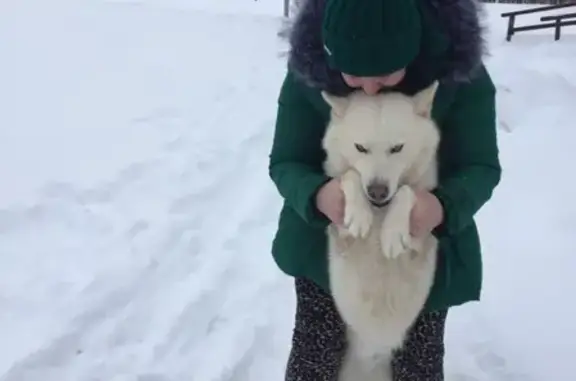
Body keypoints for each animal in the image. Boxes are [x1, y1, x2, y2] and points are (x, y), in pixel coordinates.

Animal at [322, 81, 438, 380]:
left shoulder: (421, 242)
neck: (379, 213)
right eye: (360, 148)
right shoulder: (341, 236)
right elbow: (349, 176)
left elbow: (408, 191)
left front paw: (392, 233)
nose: (377, 191)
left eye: (397, 148)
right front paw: (359, 215)